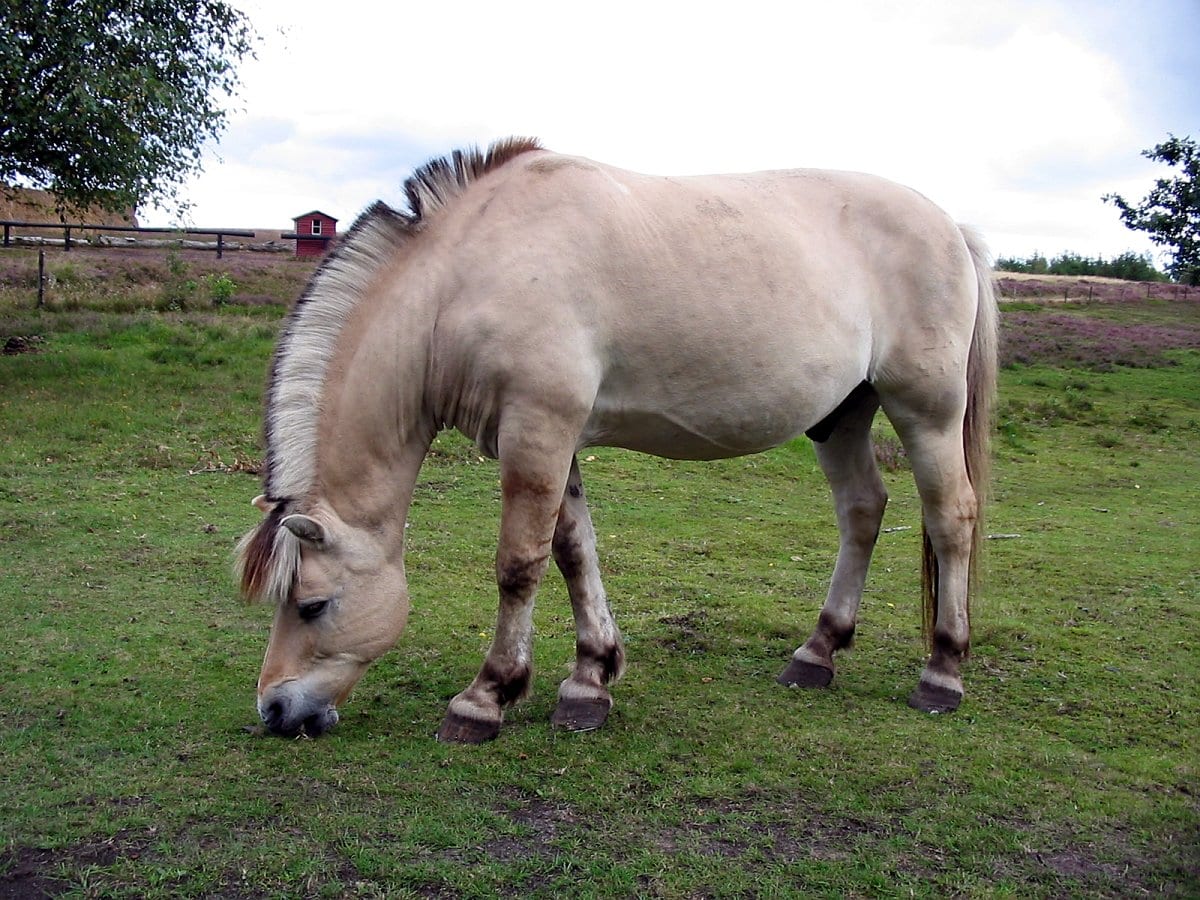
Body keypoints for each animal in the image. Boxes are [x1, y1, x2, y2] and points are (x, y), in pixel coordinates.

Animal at [231, 132, 993, 739]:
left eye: (312, 605)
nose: (275, 710)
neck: (465, 276)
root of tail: (951, 224)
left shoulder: (537, 430)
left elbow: (519, 564)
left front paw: (485, 697)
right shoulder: (553, 438)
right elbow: (573, 552)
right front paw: (589, 679)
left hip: (926, 408)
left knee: (951, 516)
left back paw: (942, 671)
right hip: (841, 416)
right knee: (863, 511)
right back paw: (817, 653)